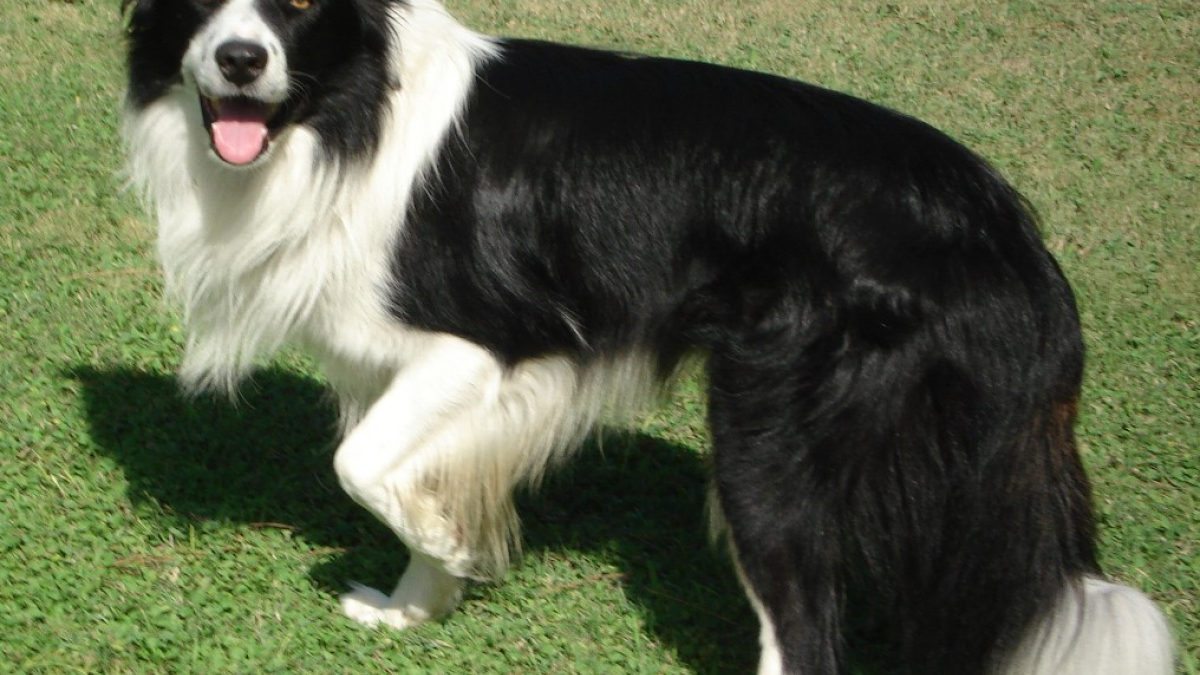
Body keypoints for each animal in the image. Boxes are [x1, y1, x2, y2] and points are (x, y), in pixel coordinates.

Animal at [121, 0, 1171, 667]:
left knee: (807, 633)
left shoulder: (487, 340)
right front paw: (416, 605)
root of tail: (1004, 227)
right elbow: (400, 465)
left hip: (766, 437)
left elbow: (362, 465)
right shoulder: (406, 366)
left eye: (298, 2)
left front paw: (451, 548)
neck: (350, 115)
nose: (241, 60)